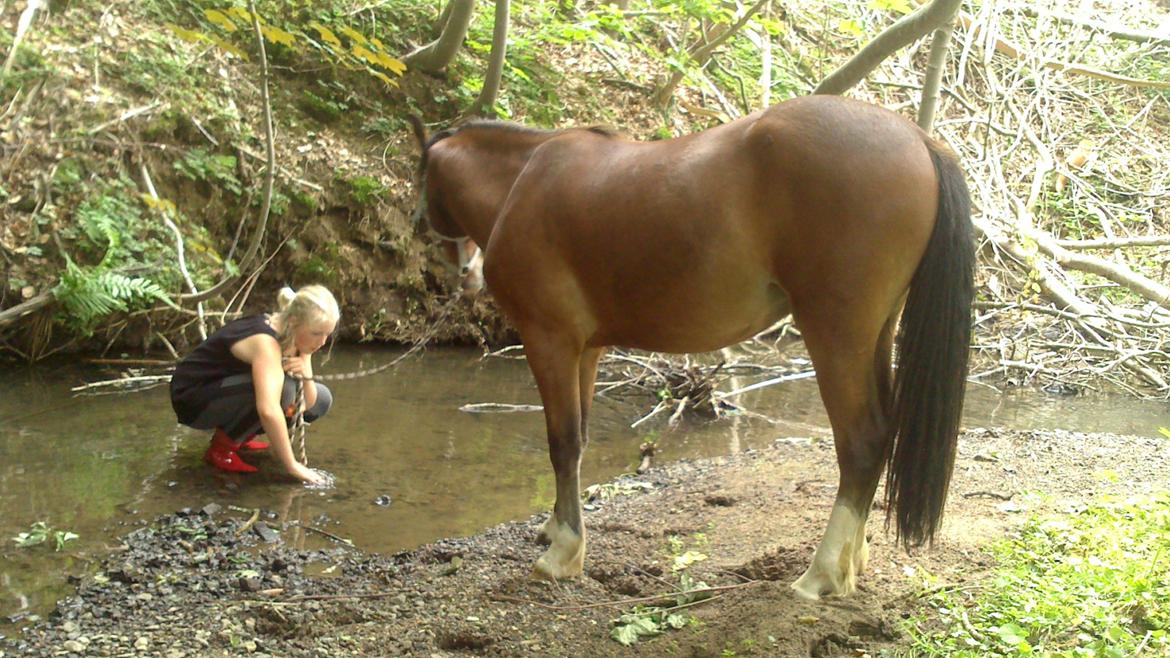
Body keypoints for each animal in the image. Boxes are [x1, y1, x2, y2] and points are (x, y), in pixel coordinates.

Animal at [408, 94, 974, 599]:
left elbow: (562, 442)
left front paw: (563, 551)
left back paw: (821, 575)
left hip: (835, 334)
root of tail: (920, 139)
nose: (464, 273)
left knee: (862, 440)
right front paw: (555, 528)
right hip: (875, 334)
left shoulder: (549, 340)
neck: (523, 180)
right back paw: (852, 561)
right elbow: (580, 436)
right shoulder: (586, 350)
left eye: (422, 180)